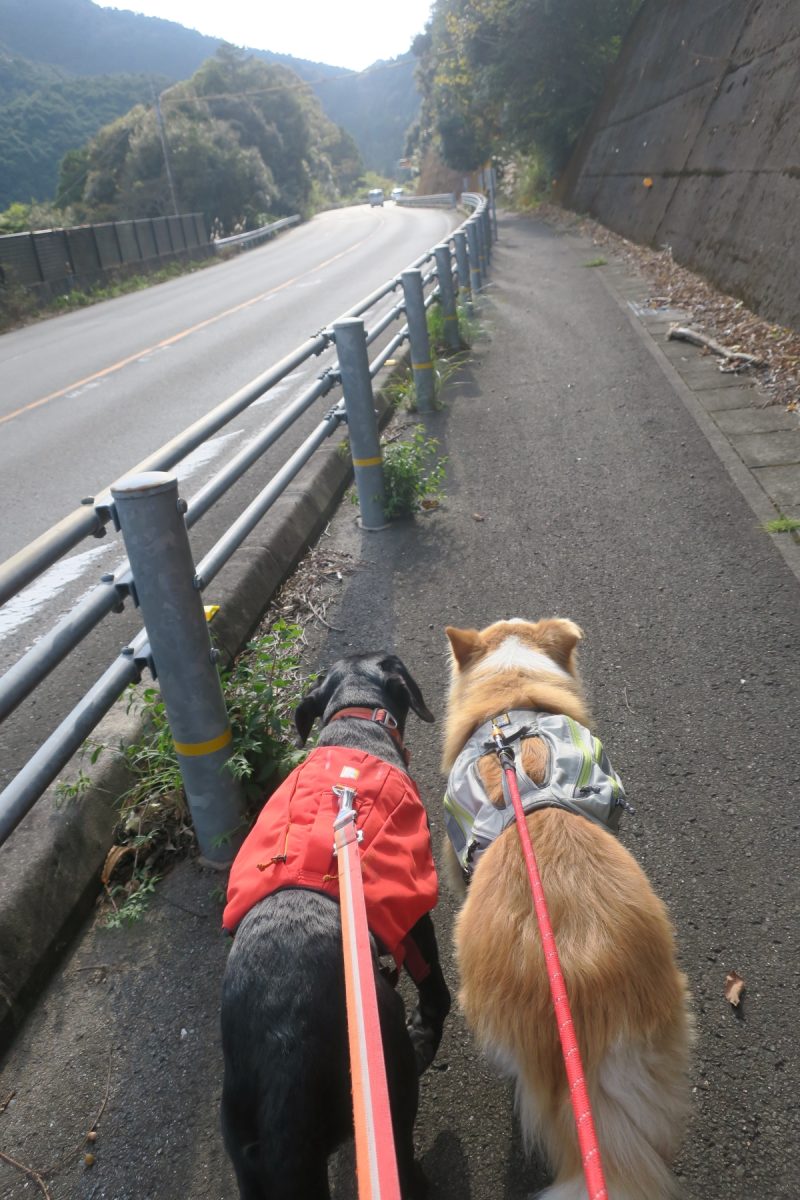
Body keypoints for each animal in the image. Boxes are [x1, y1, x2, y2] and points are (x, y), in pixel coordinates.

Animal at [221, 657, 453, 1200]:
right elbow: (434, 984)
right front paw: (428, 1029)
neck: (355, 723)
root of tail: (283, 1055)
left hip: (249, 1154)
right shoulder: (414, 907)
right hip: (389, 1084)